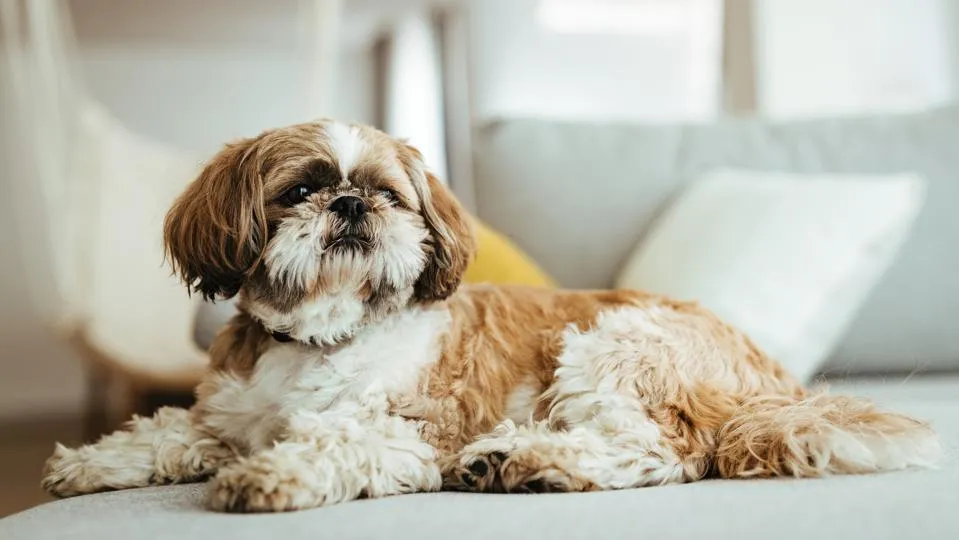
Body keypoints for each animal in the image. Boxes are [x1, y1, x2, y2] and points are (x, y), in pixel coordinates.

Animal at [41, 118, 940, 510]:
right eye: (299, 190)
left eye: (388, 193)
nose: (350, 204)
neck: (327, 333)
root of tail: (771, 384)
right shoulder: (229, 414)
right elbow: (169, 430)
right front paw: (93, 462)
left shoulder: (416, 427)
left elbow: (335, 440)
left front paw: (269, 475)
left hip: (616, 345)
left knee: (662, 452)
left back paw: (532, 460)